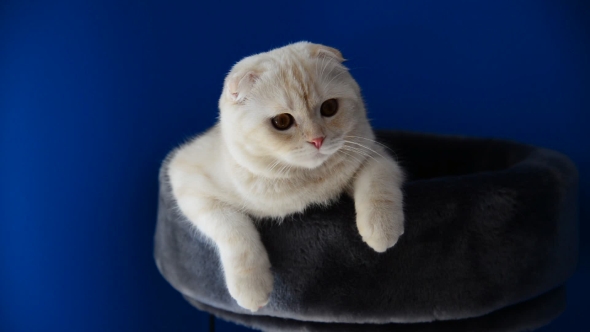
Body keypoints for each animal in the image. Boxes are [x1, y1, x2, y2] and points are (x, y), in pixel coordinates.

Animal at [169, 40, 404, 312]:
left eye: (329, 108)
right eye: (282, 121)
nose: (317, 140)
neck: (304, 179)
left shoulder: (375, 155)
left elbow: (378, 185)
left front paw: (381, 230)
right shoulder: (188, 182)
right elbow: (234, 229)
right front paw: (252, 289)